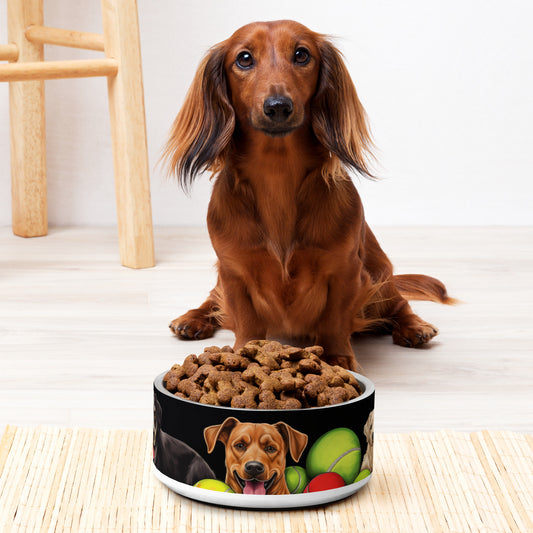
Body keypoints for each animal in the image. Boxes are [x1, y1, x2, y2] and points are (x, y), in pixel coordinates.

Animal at [165, 20, 454, 370]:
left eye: (302, 54)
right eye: (244, 58)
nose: (278, 107)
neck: (277, 175)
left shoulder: (345, 271)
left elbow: (334, 320)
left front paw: (338, 358)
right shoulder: (233, 271)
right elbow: (245, 320)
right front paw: (243, 354)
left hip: (379, 274)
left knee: (398, 304)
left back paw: (414, 326)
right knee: (213, 299)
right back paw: (192, 318)